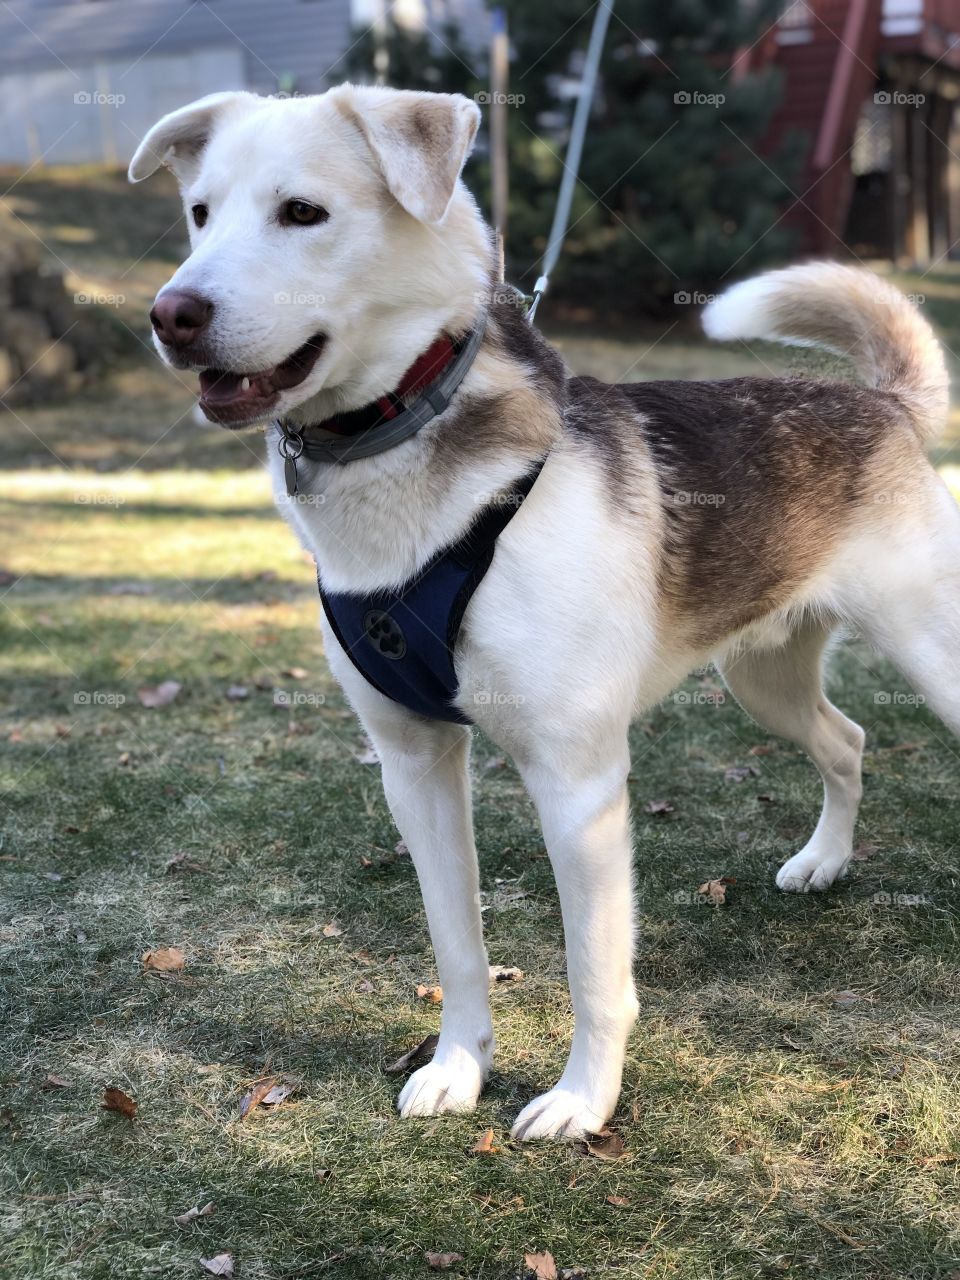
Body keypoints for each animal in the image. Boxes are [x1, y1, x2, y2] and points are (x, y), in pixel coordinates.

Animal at [131, 82, 957, 1141]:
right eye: (199, 214)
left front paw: (582, 1101)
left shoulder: (579, 783)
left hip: (931, 653)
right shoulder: (413, 768)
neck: (405, 442)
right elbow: (457, 947)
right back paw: (825, 862)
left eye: (302, 212)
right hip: (760, 677)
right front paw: (459, 1069)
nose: (172, 314)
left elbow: (595, 971)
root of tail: (882, 405)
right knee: (846, 740)